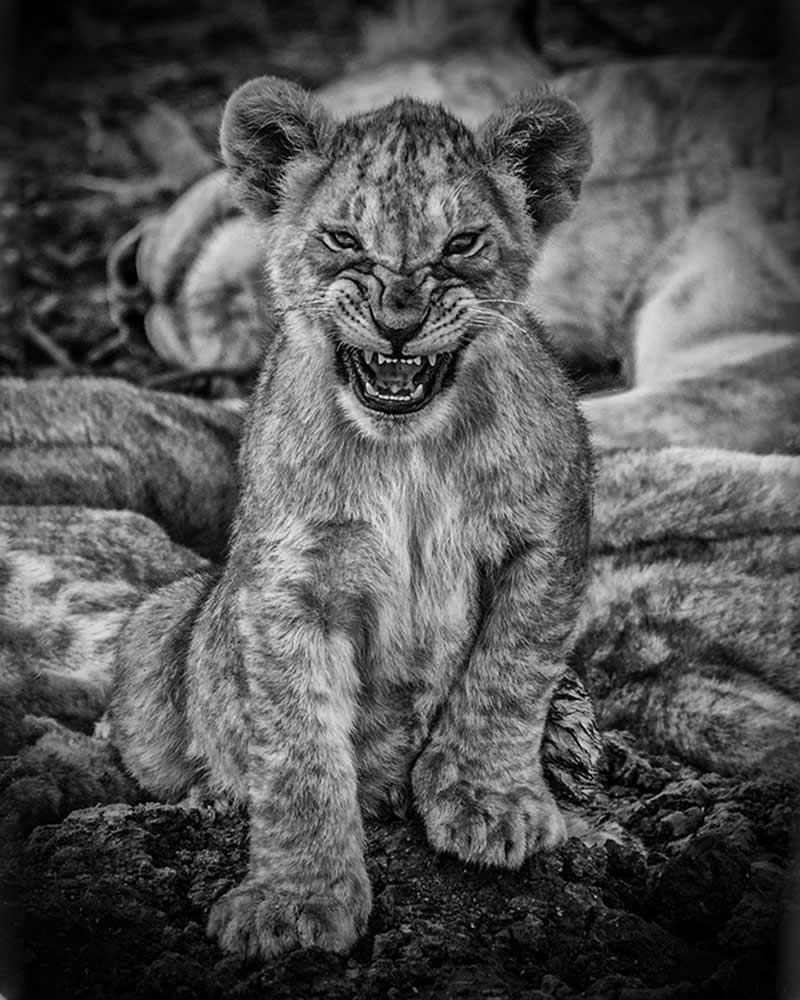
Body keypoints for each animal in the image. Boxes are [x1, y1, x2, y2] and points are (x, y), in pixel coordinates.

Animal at [109, 75, 595, 959]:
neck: (410, 453)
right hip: (161, 623)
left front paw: (489, 803)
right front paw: (297, 900)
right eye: (342, 238)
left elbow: (509, 673)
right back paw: (210, 795)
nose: (400, 322)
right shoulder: (285, 584)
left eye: (462, 243)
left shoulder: (550, 537)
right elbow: (296, 747)